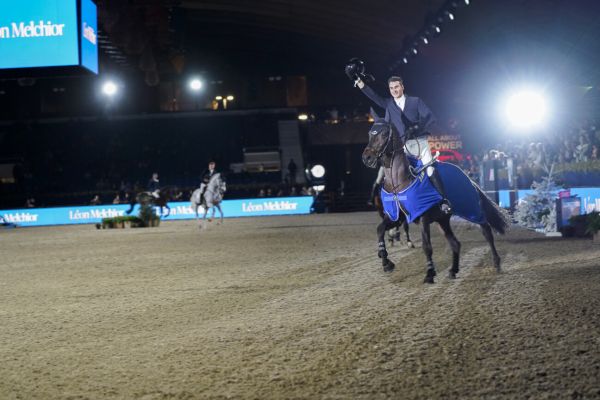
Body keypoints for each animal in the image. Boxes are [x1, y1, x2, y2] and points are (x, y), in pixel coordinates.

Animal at [364, 114, 508, 282]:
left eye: (384, 134)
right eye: (370, 133)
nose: (367, 157)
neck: (398, 183)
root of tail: (467, 177)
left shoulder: (423, 216)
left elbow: (427, 247)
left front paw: (430, 273)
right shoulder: (396, 217)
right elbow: (380, 229)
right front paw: (386, 261)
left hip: (471, 208)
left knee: (486, 231)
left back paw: (496, 263)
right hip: (443, 220)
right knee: (455, 243)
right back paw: (453, 270)